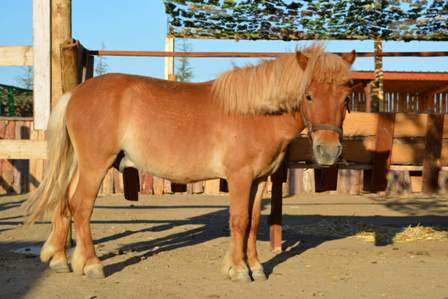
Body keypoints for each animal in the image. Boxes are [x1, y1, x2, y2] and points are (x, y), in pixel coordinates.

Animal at [24, 44, 356, 282]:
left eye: (346, 98)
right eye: (308, 95)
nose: (328, 151)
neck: (254, 113)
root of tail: (75, 93)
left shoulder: (260, 180)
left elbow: (253, 222)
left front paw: (256, 267)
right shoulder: (239, 177)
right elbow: (239, 220)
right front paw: (238, 270)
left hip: (82, 165)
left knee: (65, 201)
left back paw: (60, 258)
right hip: (95, 166)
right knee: (81, 206)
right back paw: (91, 264)